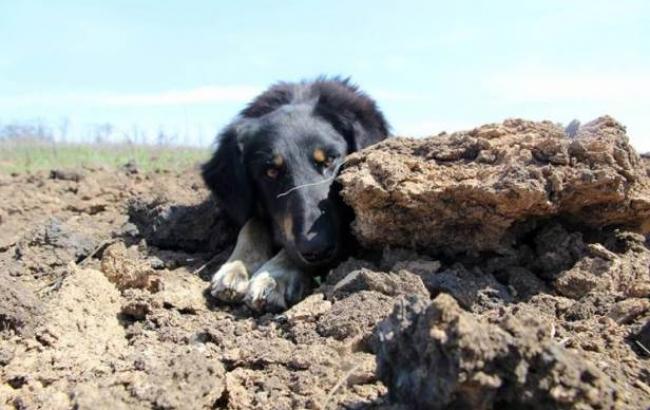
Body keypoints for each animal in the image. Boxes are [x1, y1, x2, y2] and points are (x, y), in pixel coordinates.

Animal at [200, 77, 388, 312]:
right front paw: (237, 266)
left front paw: (276, 275)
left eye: (330, 159)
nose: (317, 250)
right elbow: (252, 223)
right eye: (270, 172)